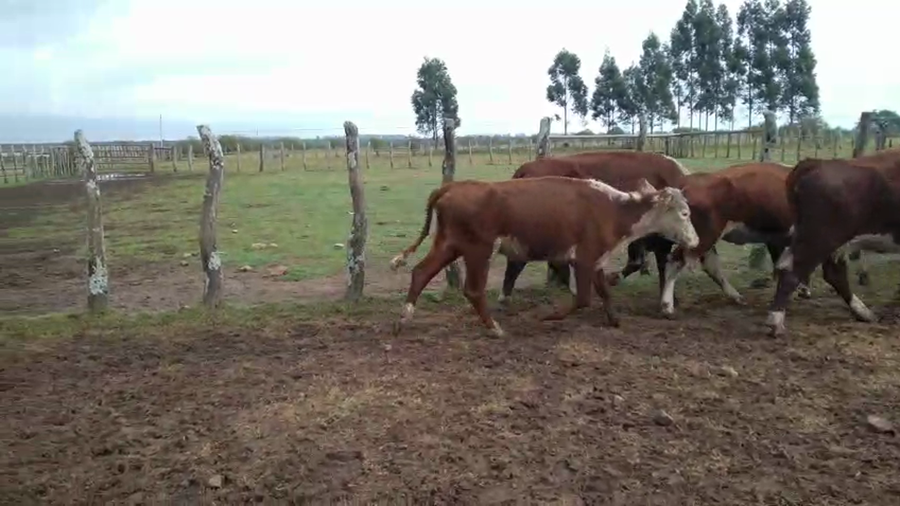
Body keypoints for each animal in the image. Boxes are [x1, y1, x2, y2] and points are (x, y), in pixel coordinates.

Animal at [388, 176, 700, 337]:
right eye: (685, 213)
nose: (695, 240)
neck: (612, 209)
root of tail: (454, 186)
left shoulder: (596, 260)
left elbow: (604, 293)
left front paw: (614, 320)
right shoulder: (583, 259)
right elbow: (583, 299)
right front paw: (550, 317)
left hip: (449, 244)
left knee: (421, 272)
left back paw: (404, 319)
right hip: (479, 249)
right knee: (473, 290)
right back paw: (494, 328)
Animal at [765, 152, 900, 337]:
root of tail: (819, 163)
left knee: (832, 272)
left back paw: (863, 312)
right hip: (820, 238)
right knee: (793, 271)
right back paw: (775, 322)